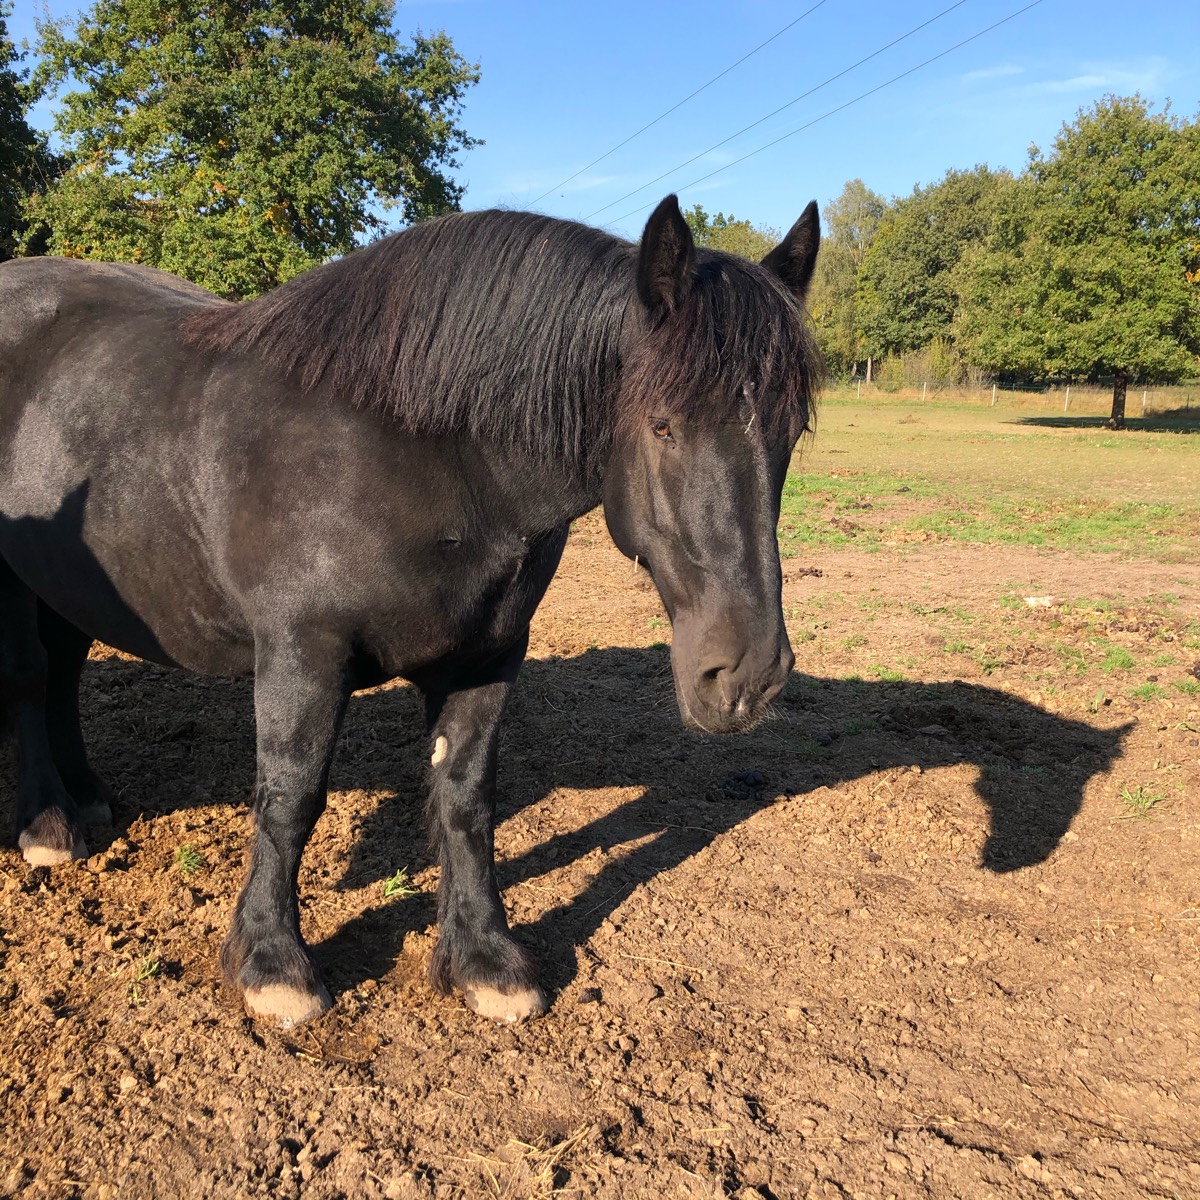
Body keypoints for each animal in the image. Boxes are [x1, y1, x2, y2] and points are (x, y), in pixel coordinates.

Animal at [0, 194, 820, 1027]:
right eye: (662, 425)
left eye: (792, 431)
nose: (747, 677)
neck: (420, 453)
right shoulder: (302, 656)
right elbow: (290, 799)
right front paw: (273, 963)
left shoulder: (489, 655)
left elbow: (465, 799)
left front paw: (484, 958)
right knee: (30, 679)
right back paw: (48, 824)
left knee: (62, 672)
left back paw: (88, 797)